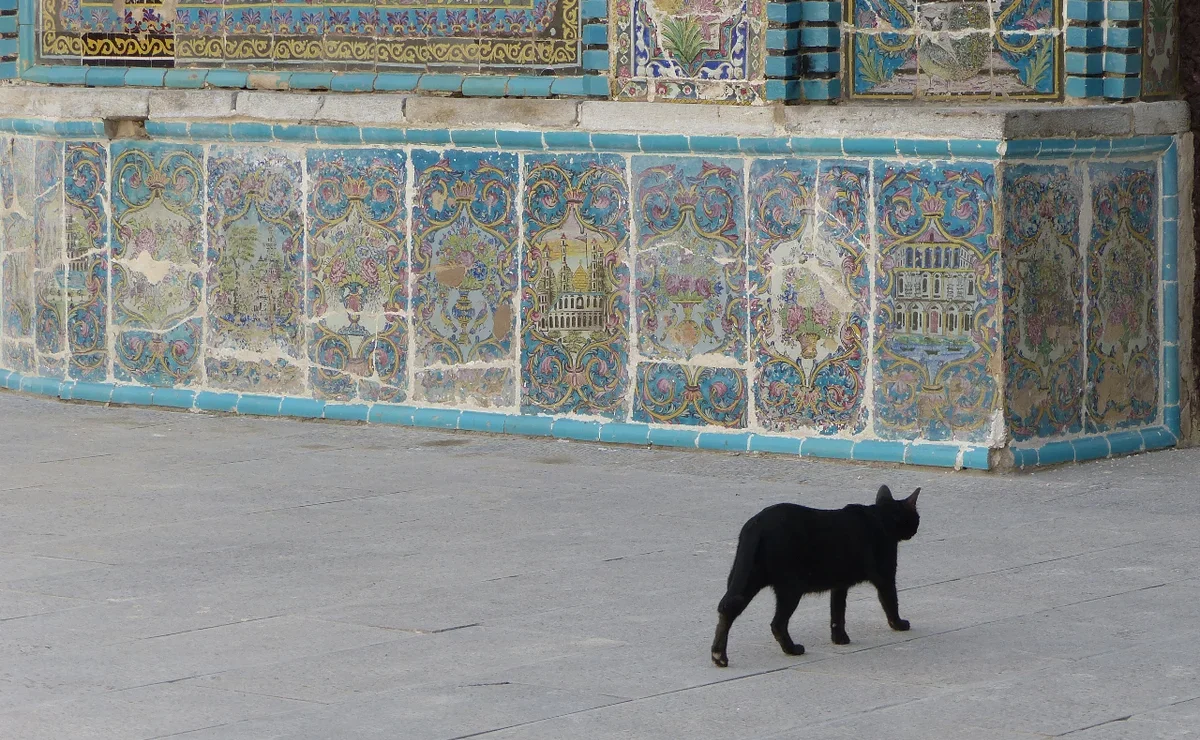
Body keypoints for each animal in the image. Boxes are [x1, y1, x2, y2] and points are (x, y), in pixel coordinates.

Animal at [710, 482, 916, 666]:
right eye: (916, 517)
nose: (915, 529)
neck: (881, 516)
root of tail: (756, 525)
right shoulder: (885, 576)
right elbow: (890, 602)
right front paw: (899, 624)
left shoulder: (839, 585)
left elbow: (837, 613)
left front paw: (839, 638)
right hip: (790, 588)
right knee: (777, 623)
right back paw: (792, 649)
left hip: (746, 578)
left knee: (728, 608)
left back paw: (719, 655)